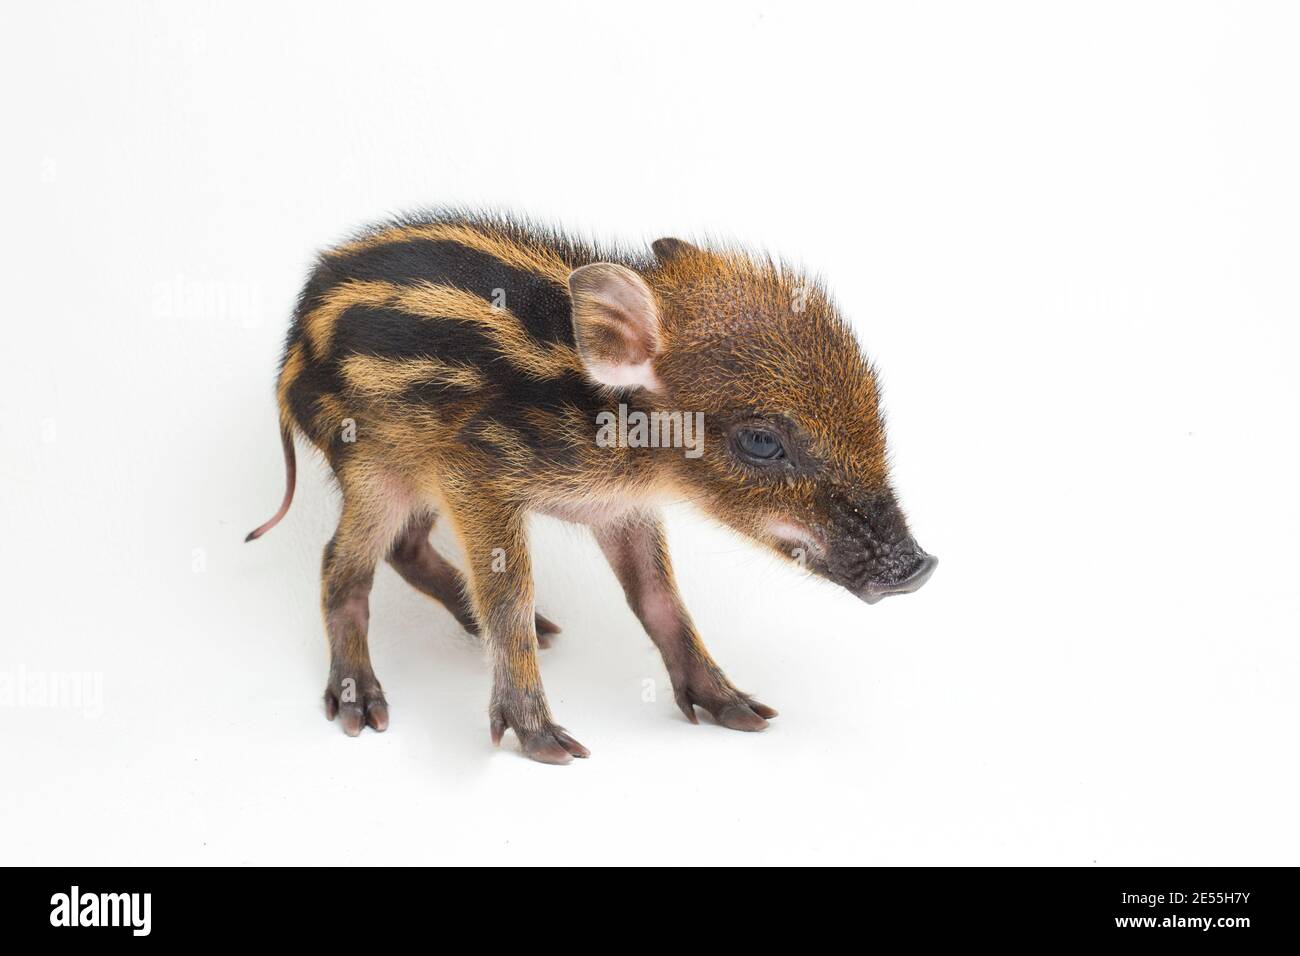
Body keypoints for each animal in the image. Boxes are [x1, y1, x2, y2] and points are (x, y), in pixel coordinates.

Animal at [247, 211, 936, 764]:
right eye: (762, 442)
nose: (918, 568)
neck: (618, 429)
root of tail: (289, 356)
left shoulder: (619, 510)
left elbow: (660, 600)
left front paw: (737, 708)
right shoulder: (477, 473)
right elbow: (509, 599)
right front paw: (544, 741)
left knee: (405, 548)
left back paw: (530, 627)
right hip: (375, 467)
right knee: (341, 566)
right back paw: (360, 705)